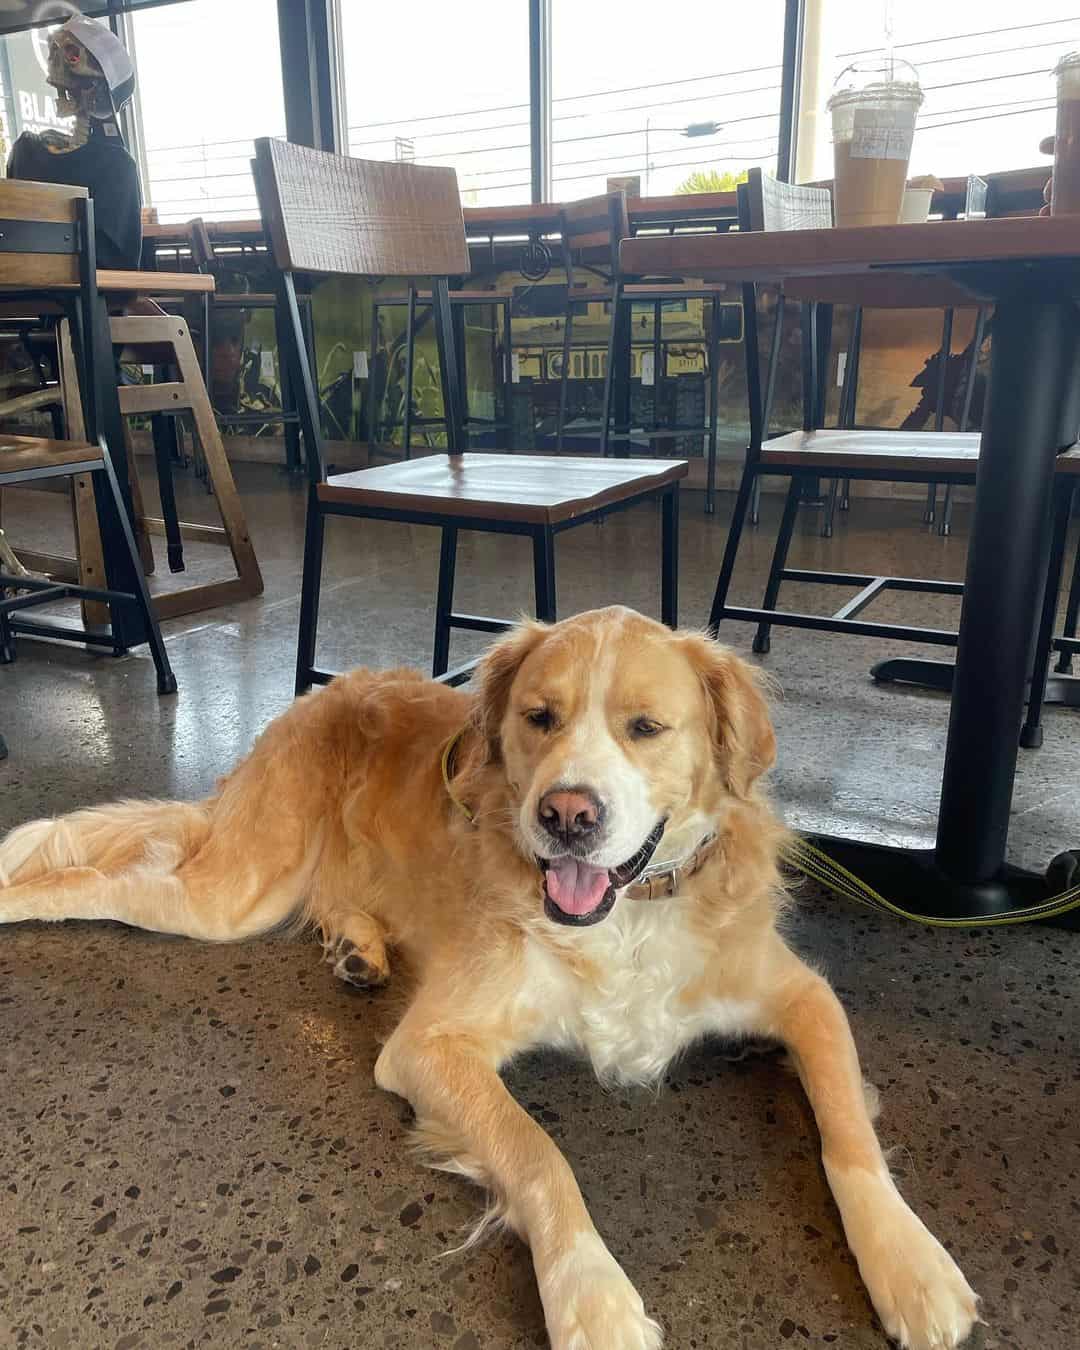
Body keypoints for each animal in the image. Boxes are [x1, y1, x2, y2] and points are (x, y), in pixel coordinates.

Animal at [0, 612, 977, 1350]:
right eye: (540, 717)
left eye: (646, 728)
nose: (568, 815)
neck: (625, 917)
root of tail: (322, 692)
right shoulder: (430, 1045)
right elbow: (539, 1155)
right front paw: (592, 1298)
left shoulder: (805, 998)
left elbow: (848, 1133)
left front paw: (911, 1263)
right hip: (231, 894)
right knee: (102, 883)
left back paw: (358, 947)